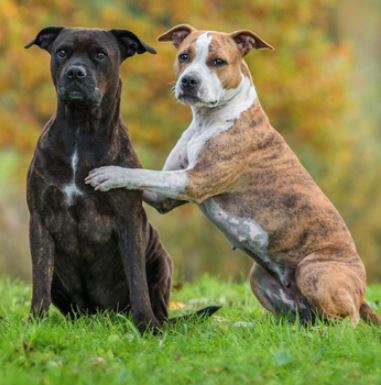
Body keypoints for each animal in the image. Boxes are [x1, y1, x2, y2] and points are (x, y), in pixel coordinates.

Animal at [25, 26, 196, 332]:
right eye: (62, 52)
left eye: (100, 54)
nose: (75, 72)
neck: (81, 131)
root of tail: (101, 314)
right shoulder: (40, 220)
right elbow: (40, 280)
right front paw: (35, 322)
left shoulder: (128, 221)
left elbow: (137, 281)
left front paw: (146, 326)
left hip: (161, 259)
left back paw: (157, 323)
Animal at [84, 24, 378, 324]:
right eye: (184, 56)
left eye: (218, 62)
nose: (189, 81)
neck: (207, 120)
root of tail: (361, 293)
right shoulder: (164, 198)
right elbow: (146, 179)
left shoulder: (194, 181)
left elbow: (143, 174)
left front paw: (110, 174)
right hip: (259, 277)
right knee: (297, 318)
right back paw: (239, 323)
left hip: (314, 272)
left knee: (347, 321)